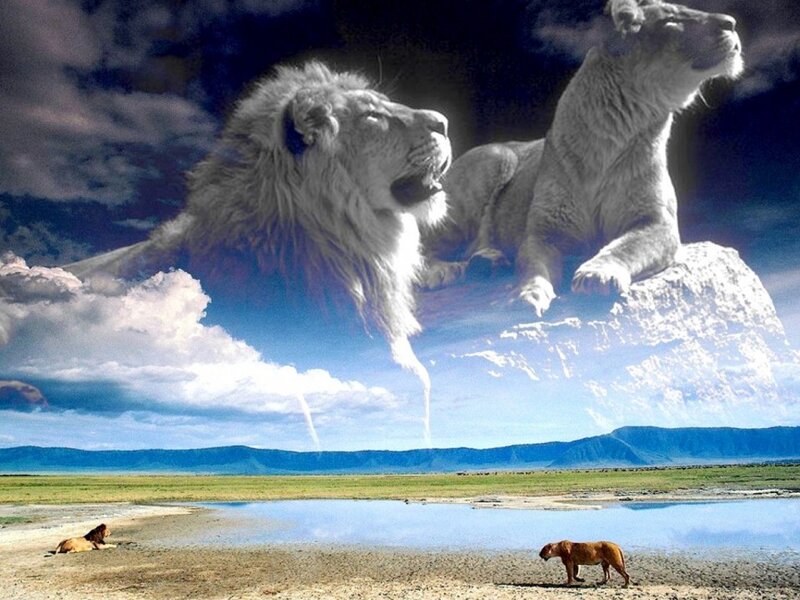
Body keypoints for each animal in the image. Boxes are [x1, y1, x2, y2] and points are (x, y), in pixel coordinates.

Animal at [424, 0, 743, 316]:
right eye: (671, 21)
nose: (731, 22)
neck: (614, 136)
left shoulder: (657, 223)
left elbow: (625, 248)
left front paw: (597, 275)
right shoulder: (544, 231)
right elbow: (533, 268)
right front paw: (527, 294)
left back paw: (487, 260)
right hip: (492, 162)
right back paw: (444, 271)